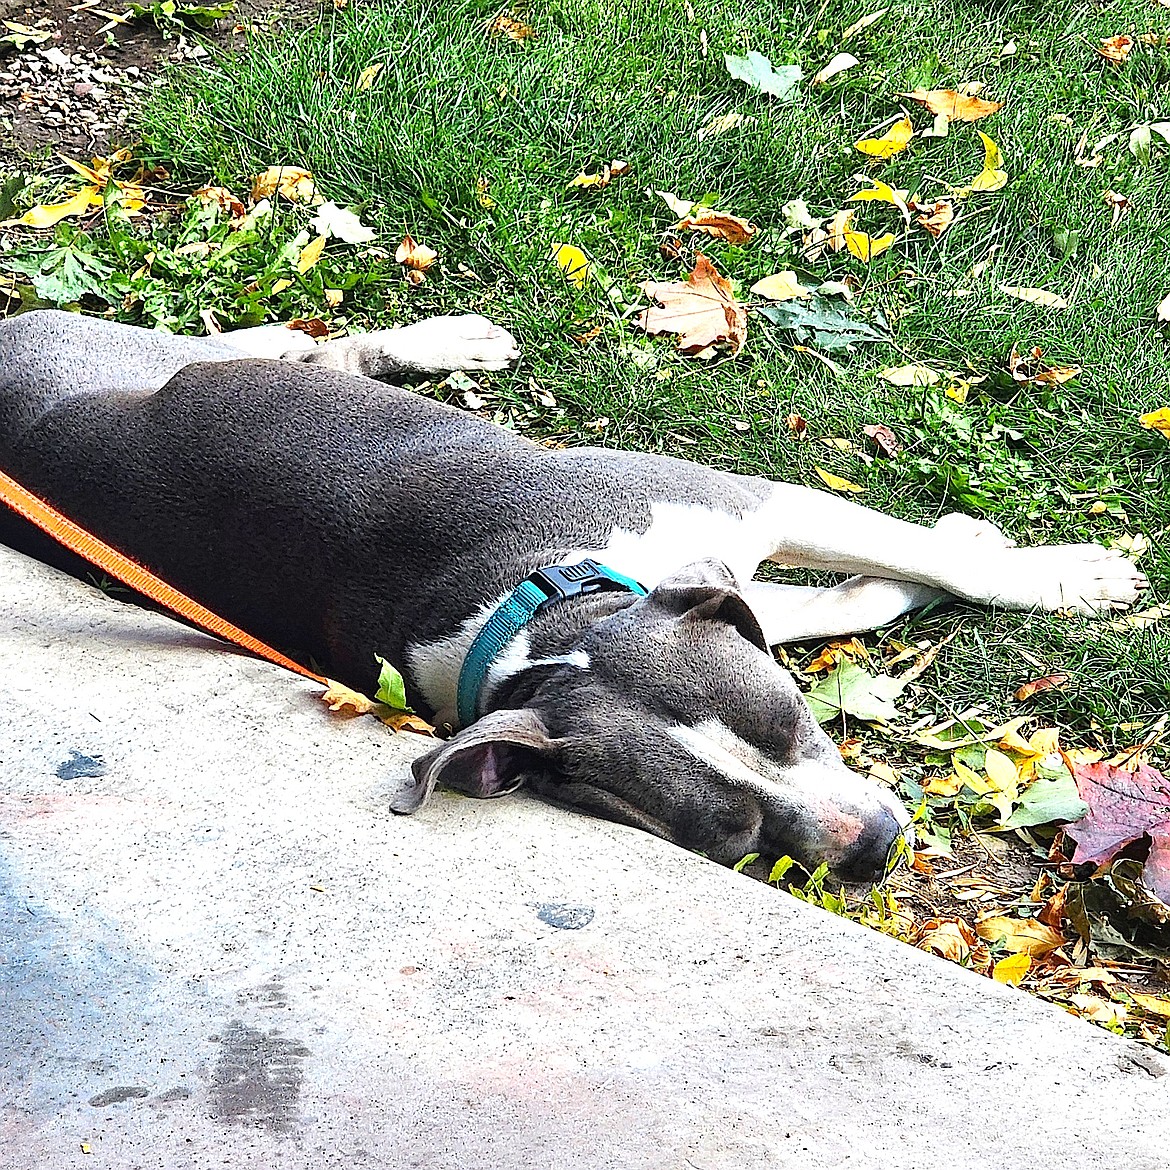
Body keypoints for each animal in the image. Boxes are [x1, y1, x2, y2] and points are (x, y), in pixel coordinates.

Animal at [0, 311, 1151, 879]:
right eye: (728, 836)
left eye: (791, 724)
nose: (873, 850)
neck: (550, 619)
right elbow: (853, 596)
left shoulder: (728, 516)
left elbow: (907, 573)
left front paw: (1052, 572)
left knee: (293, 344)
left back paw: (429, 339)